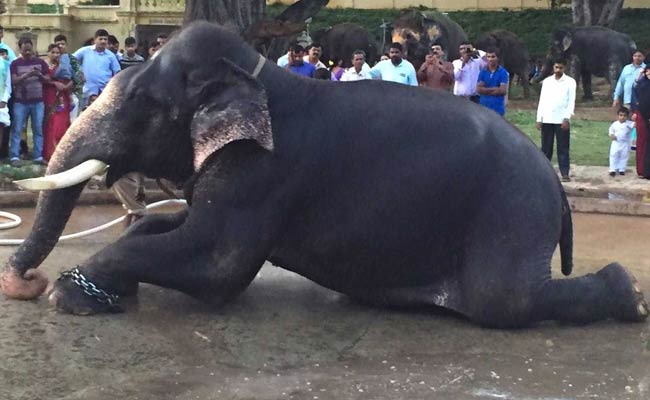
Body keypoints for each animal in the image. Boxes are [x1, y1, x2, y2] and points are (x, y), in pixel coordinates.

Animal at [2, 21, 644, 328]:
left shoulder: (265, 171)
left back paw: (632, 296)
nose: (22, 279)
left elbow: (216, 264)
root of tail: (555, 184)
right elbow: (174, 230)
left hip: (511, 209)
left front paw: (72, 293)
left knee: (503, 300)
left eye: (142, 103)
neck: (261, 74)